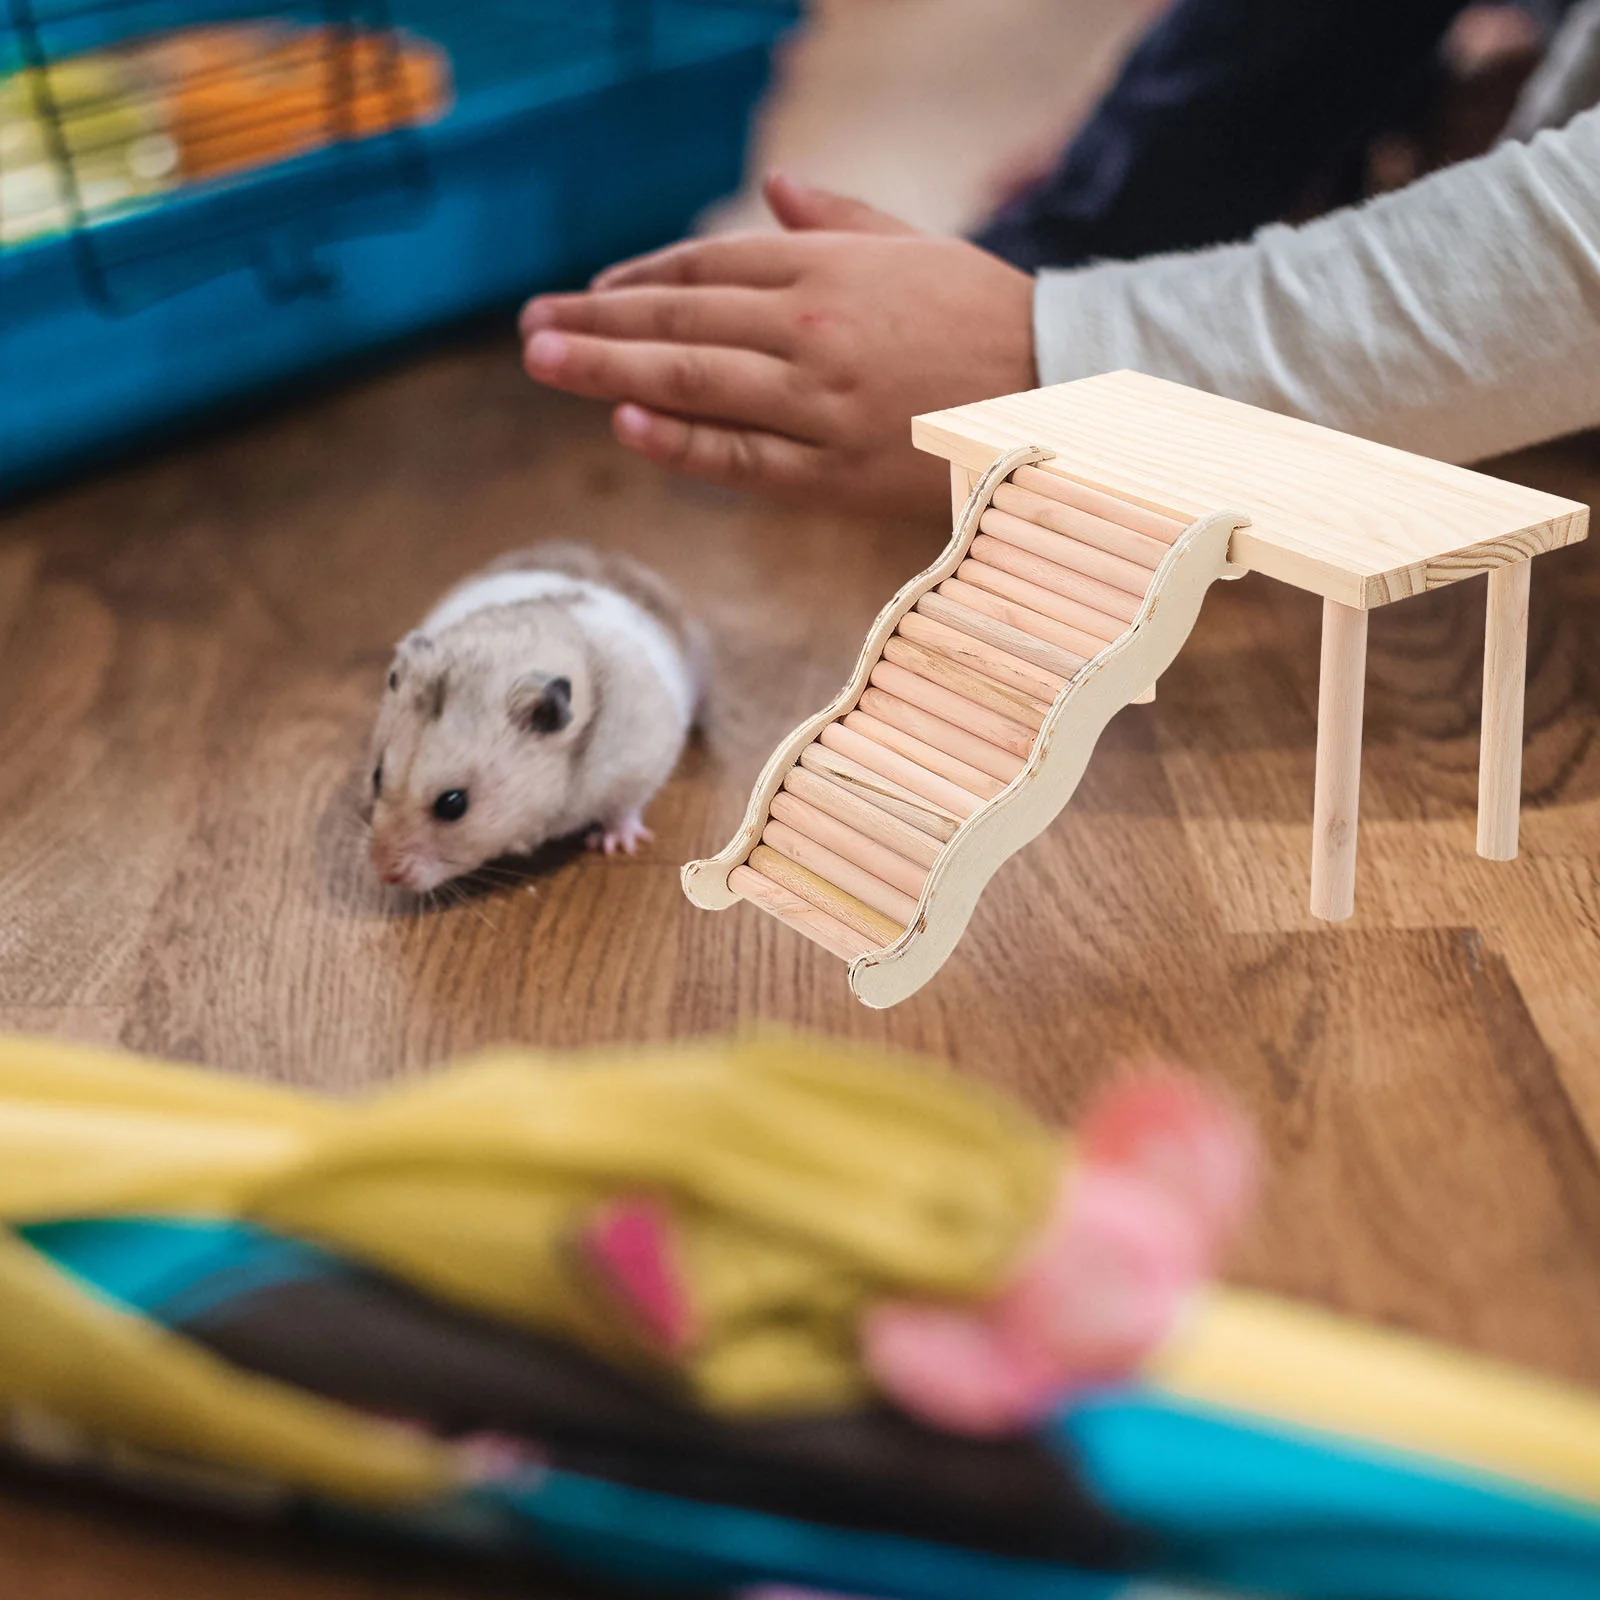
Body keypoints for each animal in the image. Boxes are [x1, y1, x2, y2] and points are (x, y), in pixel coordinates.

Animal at [371, 537, 710, 889]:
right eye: (376, 776)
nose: (384, 872)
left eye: (453, 804)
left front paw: (614, 845)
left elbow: (625, 808)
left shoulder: (641, 764)